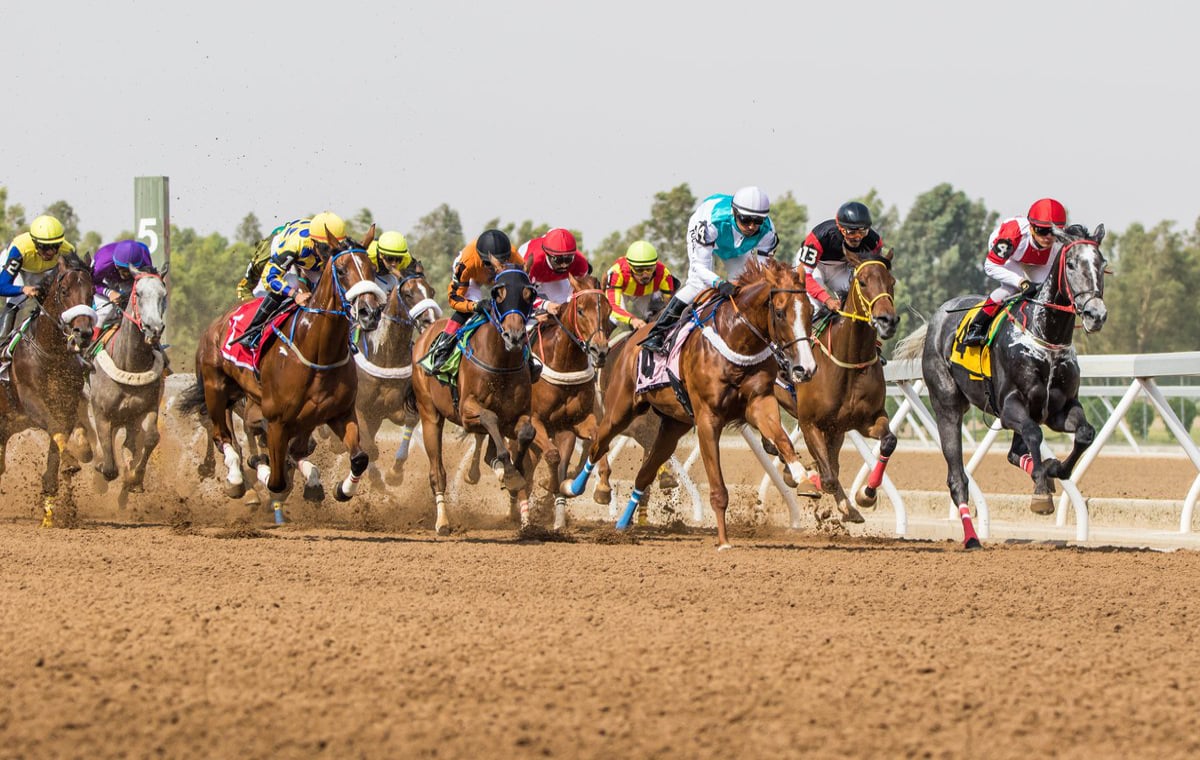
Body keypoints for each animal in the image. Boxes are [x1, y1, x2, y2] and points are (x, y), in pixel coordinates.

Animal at [0, 252, 96, 523]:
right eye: (64, 290)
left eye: (92, 291)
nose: (83, 332)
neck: (50, 353)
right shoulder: (32, 400)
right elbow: (54, 428)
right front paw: (70, 462)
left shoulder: (68, 403)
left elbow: (60, 438)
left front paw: (51, 499)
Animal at [182, 235, 384, 521]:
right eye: (342, 270)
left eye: (372, 270)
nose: (370, 312)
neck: (317, 351)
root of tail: (217, 323)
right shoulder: (277, 421)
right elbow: (276, 479)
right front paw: (261, 471)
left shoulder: (338, 413)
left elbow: (359, 458)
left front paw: (341, 489)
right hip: (216, 389)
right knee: (223, 437)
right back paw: (236, 481)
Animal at [415, 265, 542, 533]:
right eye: (498, 294)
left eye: (528, 294)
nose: (515, 336)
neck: (501, 362)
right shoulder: (466, 411)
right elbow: (488, 416)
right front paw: (509, 472)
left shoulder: (518, 415)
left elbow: (526, 433)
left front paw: (514, 472)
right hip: (429, 414)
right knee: (437, 471)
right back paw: (443, 521)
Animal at [556, 258, 820, 547]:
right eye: (780, 313)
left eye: (810, 311)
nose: (804, 368)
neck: (735, 339)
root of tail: (631, 342)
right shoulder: (707, 418)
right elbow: (718, 489)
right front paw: (723, 541)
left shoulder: (760, 402)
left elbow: (782, 439)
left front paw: (805, 478)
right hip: (621, 409)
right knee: (598, 444)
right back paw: (575, 486)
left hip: (673, 425)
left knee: (644, 473)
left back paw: (623, 523)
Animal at [772, 248, 897, 521]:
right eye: (863, 282)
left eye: (892, 282)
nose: (888, 320)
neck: (849, 363)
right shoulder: (809, 423)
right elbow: (828, 475)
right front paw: (810, 479)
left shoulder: (866, 420)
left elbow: (888, 442)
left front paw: (865, 495)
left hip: (836, 429)